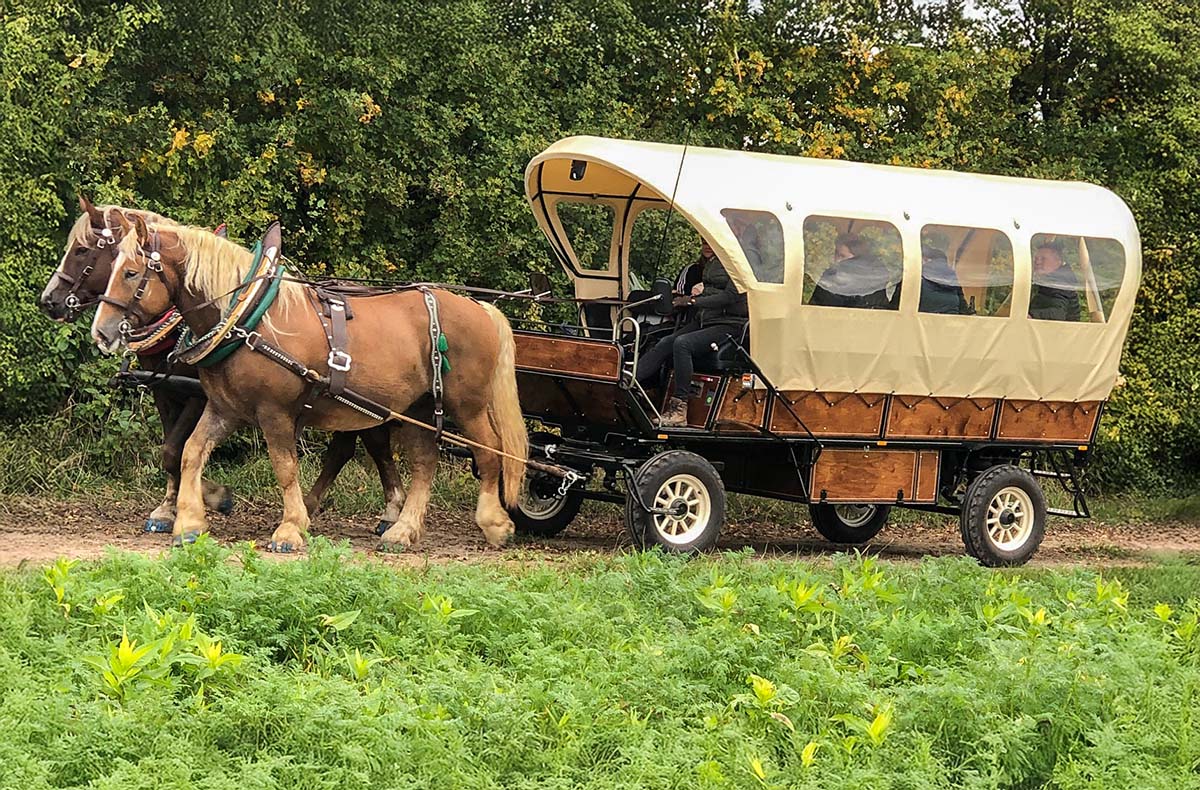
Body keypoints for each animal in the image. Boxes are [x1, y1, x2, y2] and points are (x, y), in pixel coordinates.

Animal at [39, 196, 406, 535]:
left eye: (82, 250)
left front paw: (211, 497)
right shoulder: (165, 392)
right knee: (353, 445)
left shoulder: (199, 396)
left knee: (365, 444)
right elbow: (172, 450)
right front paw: (172, 506)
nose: (49, 301)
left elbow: (174, 450)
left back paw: (385, 511)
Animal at [90, 213, 527, 551]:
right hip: (418, 406)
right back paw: (402, 530)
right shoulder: (224, 408)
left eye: (131, 273)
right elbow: (191, 453)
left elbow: (284, 468)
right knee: (425, 463)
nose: (101, 332)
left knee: (490, 452)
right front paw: (190, 522)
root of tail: (480, 307)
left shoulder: (275, 412)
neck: (247, 319)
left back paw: (494, 522)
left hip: (466, 404)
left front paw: (290, 528)